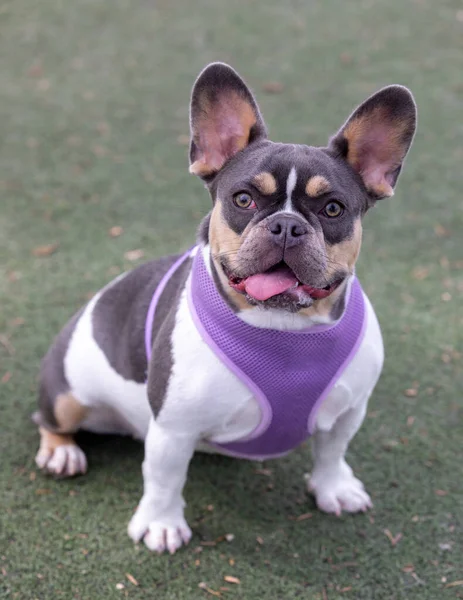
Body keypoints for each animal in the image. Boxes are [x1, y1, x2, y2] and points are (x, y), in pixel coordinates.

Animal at [32, 61, 416, 552]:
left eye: (333, 209)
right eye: (243, 200)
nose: (287, 225)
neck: (283, 325)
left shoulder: (349, 411)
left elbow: (332, 451)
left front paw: (334, 488)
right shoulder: (173, 428)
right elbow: (164, 478)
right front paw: (161, 523)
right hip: (67, 394)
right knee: (50, 416)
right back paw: (61, 451)